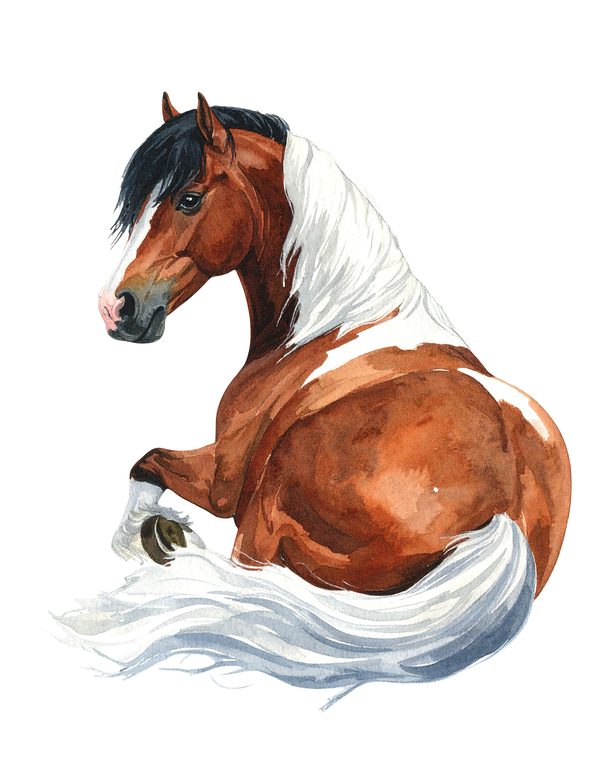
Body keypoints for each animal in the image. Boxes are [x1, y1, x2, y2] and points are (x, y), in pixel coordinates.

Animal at [91, 92, 570, 691]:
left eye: (189, 198)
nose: (116, 308)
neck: (334, 319)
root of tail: (504, 516)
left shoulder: (225, 479)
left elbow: (147, 461)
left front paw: (144, 537)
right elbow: (146, 462)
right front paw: (161, 535)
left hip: (262, 519)